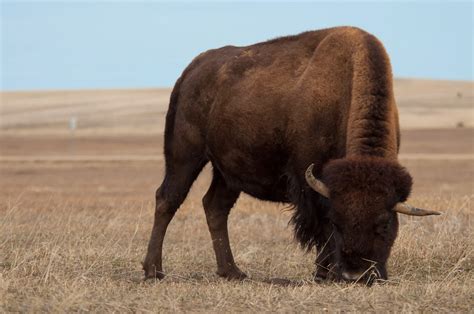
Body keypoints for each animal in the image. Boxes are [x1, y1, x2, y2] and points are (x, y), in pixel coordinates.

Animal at [142, 25, 440, 284]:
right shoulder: (310, 180)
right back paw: (153, 271)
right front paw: (324, 274)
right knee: (167, 199)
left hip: (226, 172)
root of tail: (191, 71)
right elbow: (321, 227)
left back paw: (233, 272)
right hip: (185, 155)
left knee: (215, 207)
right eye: (339, 221)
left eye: (385, 224)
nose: (355, 275)